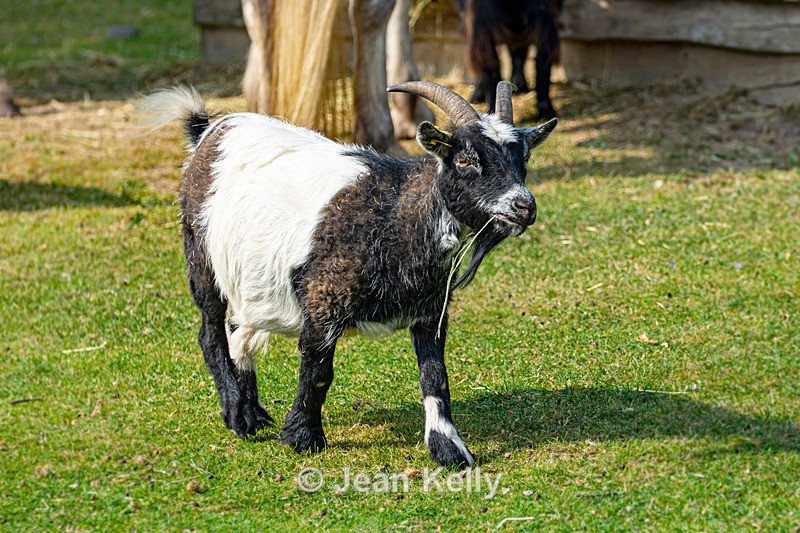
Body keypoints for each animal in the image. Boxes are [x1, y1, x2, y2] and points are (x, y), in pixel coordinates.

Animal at [146, 81, 556, 468]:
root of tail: (209, 129)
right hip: (201, 257)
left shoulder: (430, 309)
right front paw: (303, 437)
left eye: (524, 158)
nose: (524, 206)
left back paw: (254, 410)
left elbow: (435, 375)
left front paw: (448, 449)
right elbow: (318, 371)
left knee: (239, 329)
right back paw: (238, 415)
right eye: (466, 160)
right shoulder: (322, 303)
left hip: (254, 280)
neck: (393, 215)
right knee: (211, 333)